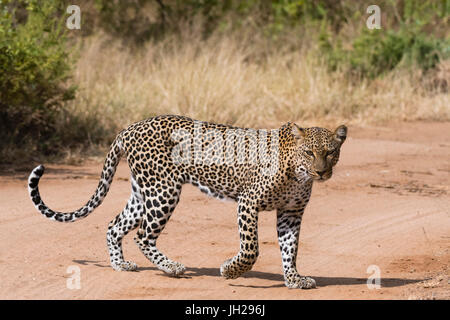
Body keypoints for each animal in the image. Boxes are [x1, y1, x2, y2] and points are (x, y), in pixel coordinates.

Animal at [28, 114, 348, 288]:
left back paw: (121, 265)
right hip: (164, 191)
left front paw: (294, 280)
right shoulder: (248, 202)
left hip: (143, 192)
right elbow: (251, 249)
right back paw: (171, 267)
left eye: (331, 152)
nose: (322, 171)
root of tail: (129, 128)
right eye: (309, 152)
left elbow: (290, 250)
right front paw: (230, 270)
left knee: (114, 225)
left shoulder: (291, 213)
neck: (298, 174)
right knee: (143, 235)